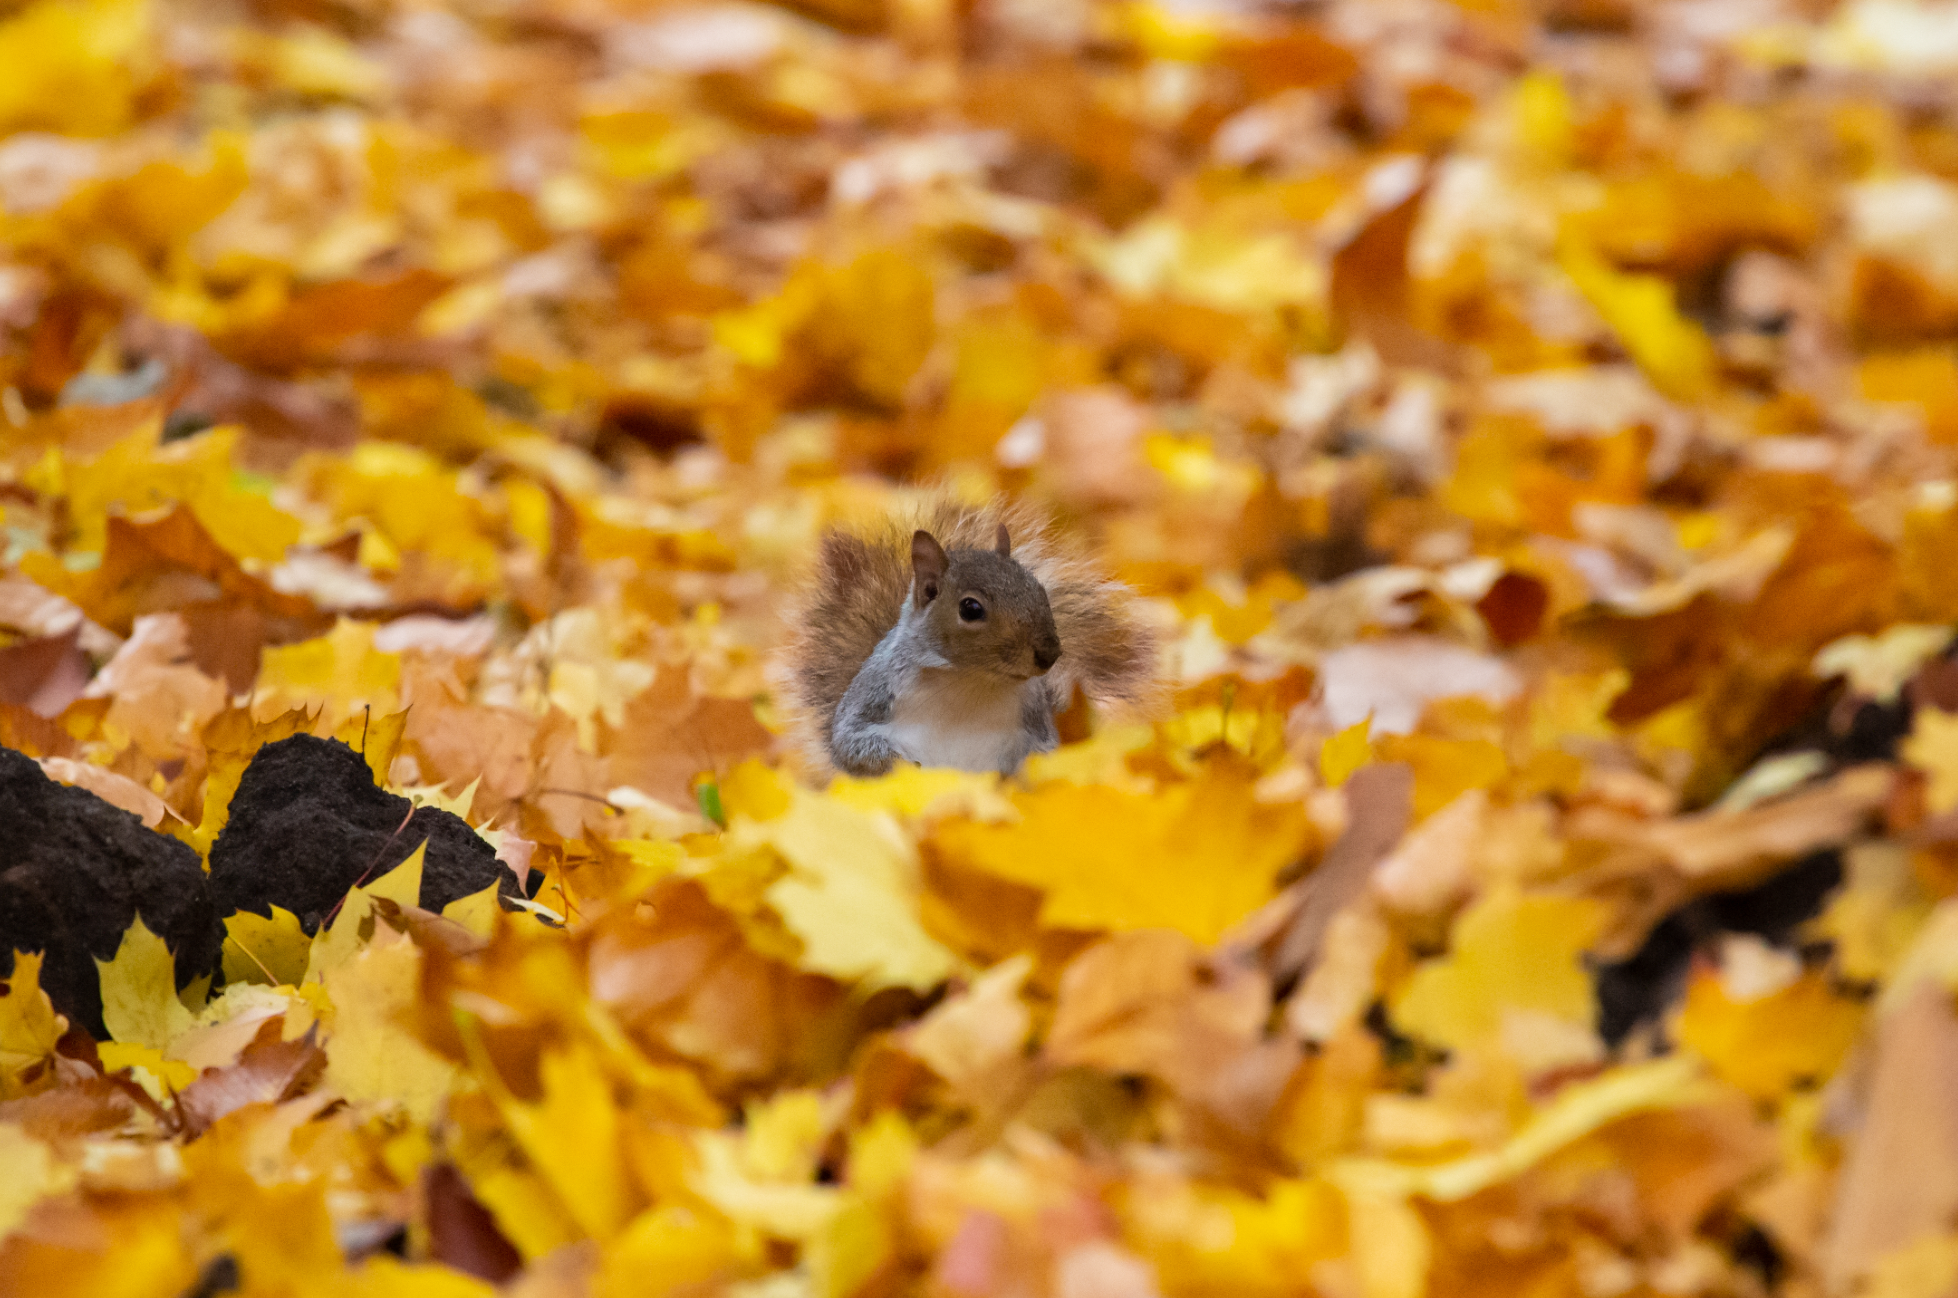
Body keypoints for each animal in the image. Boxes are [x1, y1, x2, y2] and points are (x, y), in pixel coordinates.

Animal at [783, 497, 1159, 783]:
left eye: (1039, 589)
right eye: (971, 608)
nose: (1049, 653)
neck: (969, 681)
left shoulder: (1035, 716)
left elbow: (1044, 751)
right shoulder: (874, 694)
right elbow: (850, 743)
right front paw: (907, 767)